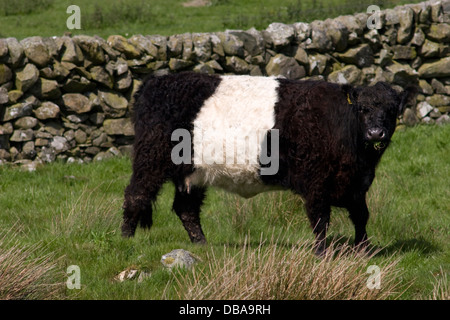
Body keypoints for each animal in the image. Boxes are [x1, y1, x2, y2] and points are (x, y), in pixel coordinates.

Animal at [121, 72, 416, 255]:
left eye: (392, 110)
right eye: (362, 109)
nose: (376, 133)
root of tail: (154, 82)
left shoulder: (356, 184)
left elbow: (361, 217)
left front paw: (364, 250)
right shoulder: (316, 183)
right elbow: (320, 219)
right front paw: (322, 254)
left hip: (193, 172)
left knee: (186, 209)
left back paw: (203, 245)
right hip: (151, 158)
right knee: (136, 195)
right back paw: (125, 241)